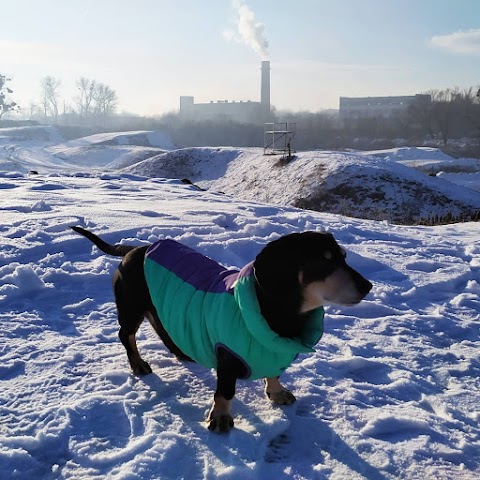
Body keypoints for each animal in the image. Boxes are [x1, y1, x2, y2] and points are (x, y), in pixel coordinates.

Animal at [71, 227, 374, 434]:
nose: (368, 286)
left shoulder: (275, 349)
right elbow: (225, 392)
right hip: (131, 306)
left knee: (160, 326)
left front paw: (276, 392)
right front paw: (219, 417)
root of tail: (135, 249)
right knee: (126, 335)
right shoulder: (227, 358)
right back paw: (138, 364)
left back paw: (180, 352)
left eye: (344, 257)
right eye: (323, 262)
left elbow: (274, 373)